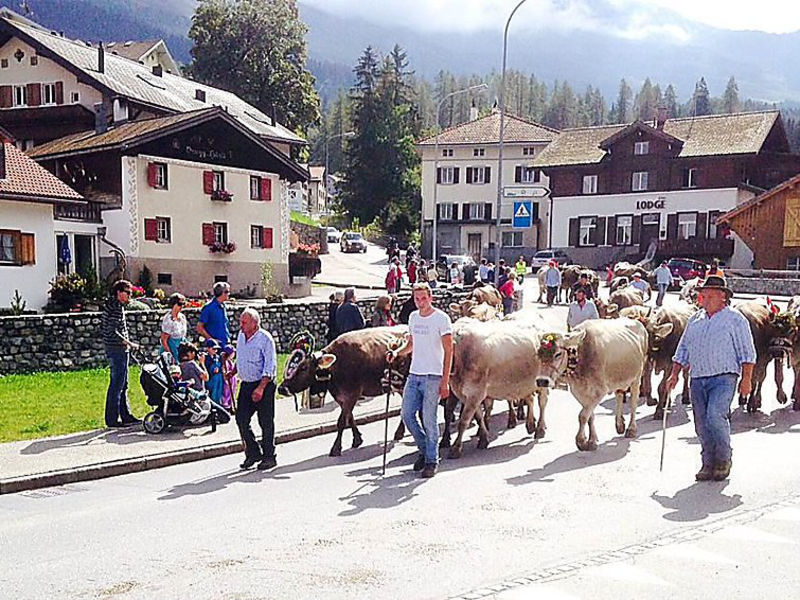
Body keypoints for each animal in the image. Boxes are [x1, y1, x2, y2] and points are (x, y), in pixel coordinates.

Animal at [278, 326, 410, 458]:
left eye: (304, 367)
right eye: (286, 364)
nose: (281, 389)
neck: (336, 367)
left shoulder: (352, 394)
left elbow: (341, 421)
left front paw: (336, 448)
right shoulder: (342, 398)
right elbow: (349, 418)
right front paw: (357, 439)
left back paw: (399, 432)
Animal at [446, 312, 548, 458]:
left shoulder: (475, 393)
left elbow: (464, 421)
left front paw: (456, 448)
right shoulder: (467, 395)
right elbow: (479, 417)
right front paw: (483, 438)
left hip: (543, 381)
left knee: (542, 402)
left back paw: (539, 429)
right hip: (525, 383)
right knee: (529, 399)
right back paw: (530, 425)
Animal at [532, 318, 648, 450]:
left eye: (558, 354)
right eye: (538, 354)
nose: (542, 381)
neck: (581, 356)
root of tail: (638, 323)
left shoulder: (600, 391)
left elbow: (582, 415)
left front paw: (581, 441)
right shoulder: (578, 391)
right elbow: (589, 416)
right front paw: (592, 441)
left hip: (637, 378)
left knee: (633, 403)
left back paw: (631, 429)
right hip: (619, 378)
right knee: (619, 395)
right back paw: (619, 425)